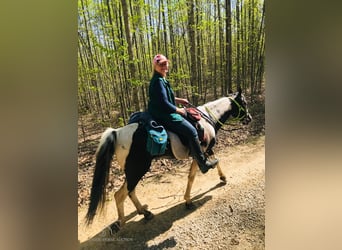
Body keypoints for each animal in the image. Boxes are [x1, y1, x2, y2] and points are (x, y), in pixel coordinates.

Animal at [84, 88, 252, 232]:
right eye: (244, 103)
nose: (249, 119)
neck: (207, 118)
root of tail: (117, 133)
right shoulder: (200, 153)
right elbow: (193, 175)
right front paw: (188, 201)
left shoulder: (206, 150)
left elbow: (214, 162)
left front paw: (222, 178)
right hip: (137, 169)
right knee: (120, 195)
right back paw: (122, 222)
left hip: (133, 170)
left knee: (130, 191)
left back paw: (144, 212)